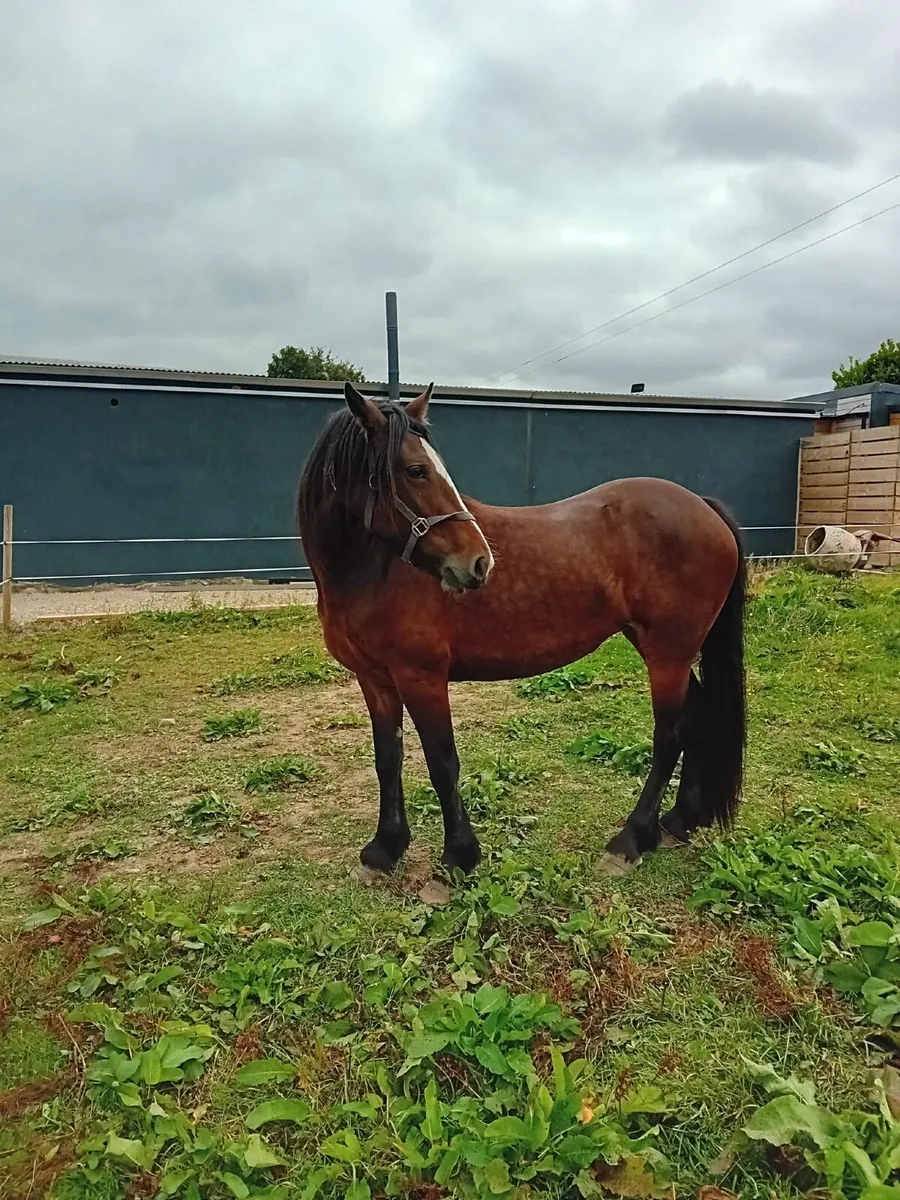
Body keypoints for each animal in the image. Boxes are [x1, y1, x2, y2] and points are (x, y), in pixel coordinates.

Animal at [296, 382, 746, 879]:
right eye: (415, 470)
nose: (479, 563)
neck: (371, 571)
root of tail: (703, 507)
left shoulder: (422, 678)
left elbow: (441, 762)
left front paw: (457, 859)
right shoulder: (375, 681)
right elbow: (388, 760)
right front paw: (384, 849)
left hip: (668, 654)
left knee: (670, 735)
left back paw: (631, 839)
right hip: (672, 651)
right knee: (699, 715)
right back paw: (679, 820)